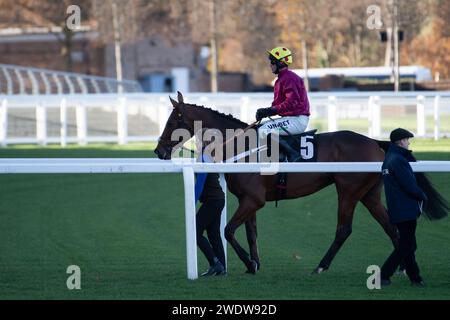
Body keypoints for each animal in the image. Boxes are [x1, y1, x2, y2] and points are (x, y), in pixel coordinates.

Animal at [156, 92, 446, 276]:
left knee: (344, 229)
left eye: (173, 120)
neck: (241, 145)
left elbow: (228, 230)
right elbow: (251, 234)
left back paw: (321, 266)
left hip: (348, 191)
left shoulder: (253, 200)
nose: (159, 151)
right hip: (369, 194)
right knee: (391, 228)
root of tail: (375, 142)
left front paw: (249, 263)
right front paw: (254, 263)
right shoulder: (248, 201)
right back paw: (402, 267)